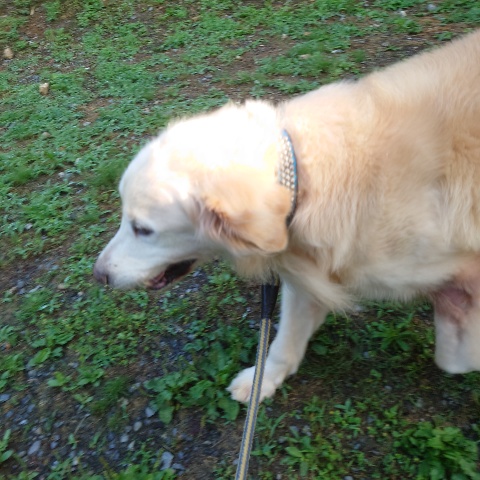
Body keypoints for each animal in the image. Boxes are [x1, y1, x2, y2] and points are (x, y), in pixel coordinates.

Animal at [94, 30, 480, 403]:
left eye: (143, 229)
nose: (99, 275)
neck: (304, 175)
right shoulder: (307, 276)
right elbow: (285, 341)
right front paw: (262, 381)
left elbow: (453, 351)